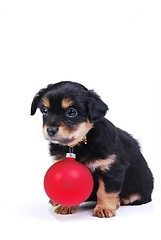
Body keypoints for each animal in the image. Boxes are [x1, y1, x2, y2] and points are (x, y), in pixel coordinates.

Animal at [31, 80, 153, 218]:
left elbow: (105, 190)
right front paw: (66, 205)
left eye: (71, 112)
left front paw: (104, 208)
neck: (80, 143)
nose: (50, 130)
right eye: (45, 111)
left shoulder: (111, 167)